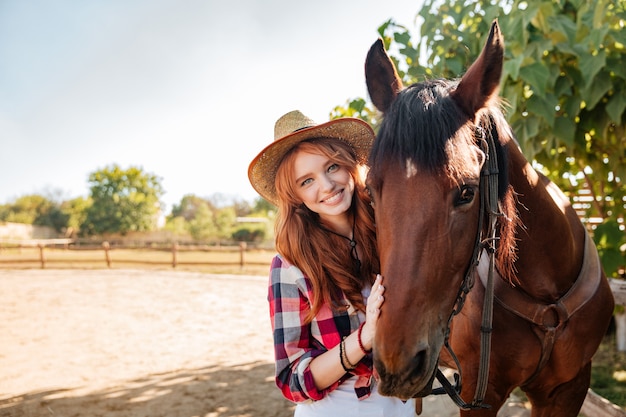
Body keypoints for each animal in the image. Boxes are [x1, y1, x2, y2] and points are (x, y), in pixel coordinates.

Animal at [364, 17, 612, 414]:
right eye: (370, 192)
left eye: (467, 192)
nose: (396, 363)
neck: (546, 298)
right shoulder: (482, 393)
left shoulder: (570, 389)